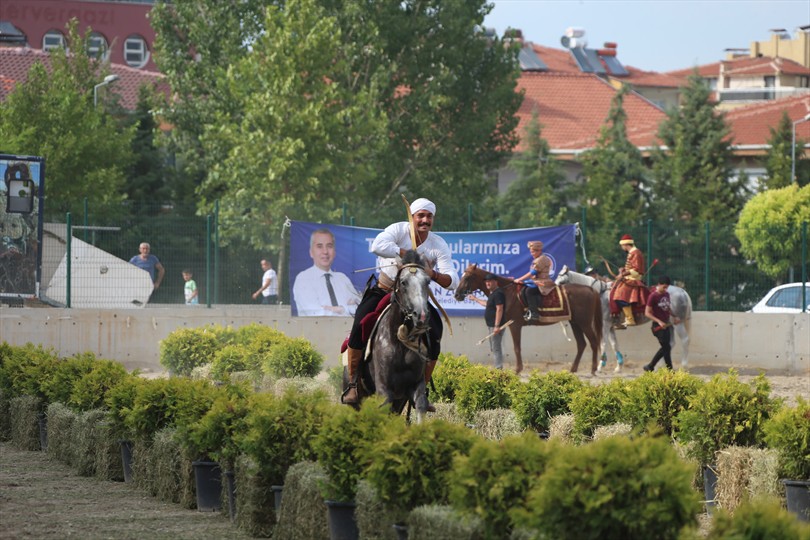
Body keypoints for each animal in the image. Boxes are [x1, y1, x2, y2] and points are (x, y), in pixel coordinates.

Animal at [454, 264, 600, 374]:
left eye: (467, 277)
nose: (456, 294)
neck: (507, 292)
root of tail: (590, 289)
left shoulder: (514, 325)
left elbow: (517, 347)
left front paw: (518, 369)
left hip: (585, 323)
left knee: (593, 342)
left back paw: (593, 369)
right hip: (575, 323)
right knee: (581, 344)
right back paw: (573, 369)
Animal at [552, 266, 692, 372]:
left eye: (561, 281)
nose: (553, 294)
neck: (599, 294)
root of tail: (682, 292)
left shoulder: (604, 325)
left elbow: (603, 343)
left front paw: (599, 366)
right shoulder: (610, 327)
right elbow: (614, 345)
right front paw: (618, 367)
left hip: (678, 324)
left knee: (684, 340)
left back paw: (684, 365)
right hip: (669, 324)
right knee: (669, 344)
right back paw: (659, 366)